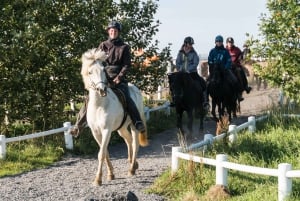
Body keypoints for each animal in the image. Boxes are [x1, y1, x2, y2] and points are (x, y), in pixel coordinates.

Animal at [81, 48, 149, 186]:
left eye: (103, 70)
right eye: (90, 72)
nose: (102, 90)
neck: (99, 105)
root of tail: (135, 88)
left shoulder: (106, 130)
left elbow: (101, 153)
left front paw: (98, 179)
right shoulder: (96, 132)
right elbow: (105, 152)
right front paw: (110, 174)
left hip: (134, 125)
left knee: (135, 143)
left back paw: (132, 169)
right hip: (121, 129)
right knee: (128, 141)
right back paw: (133, 164)